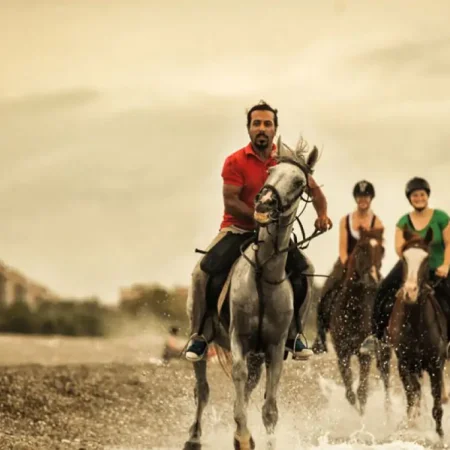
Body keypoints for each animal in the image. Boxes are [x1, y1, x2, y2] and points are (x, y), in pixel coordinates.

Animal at [328, 229, 384, 414]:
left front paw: (362, 415)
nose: (373, 278)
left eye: (382, 249)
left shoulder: (365, 355)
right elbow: (350, 393)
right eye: (361, 248)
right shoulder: (342, 353)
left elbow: (362, 392)